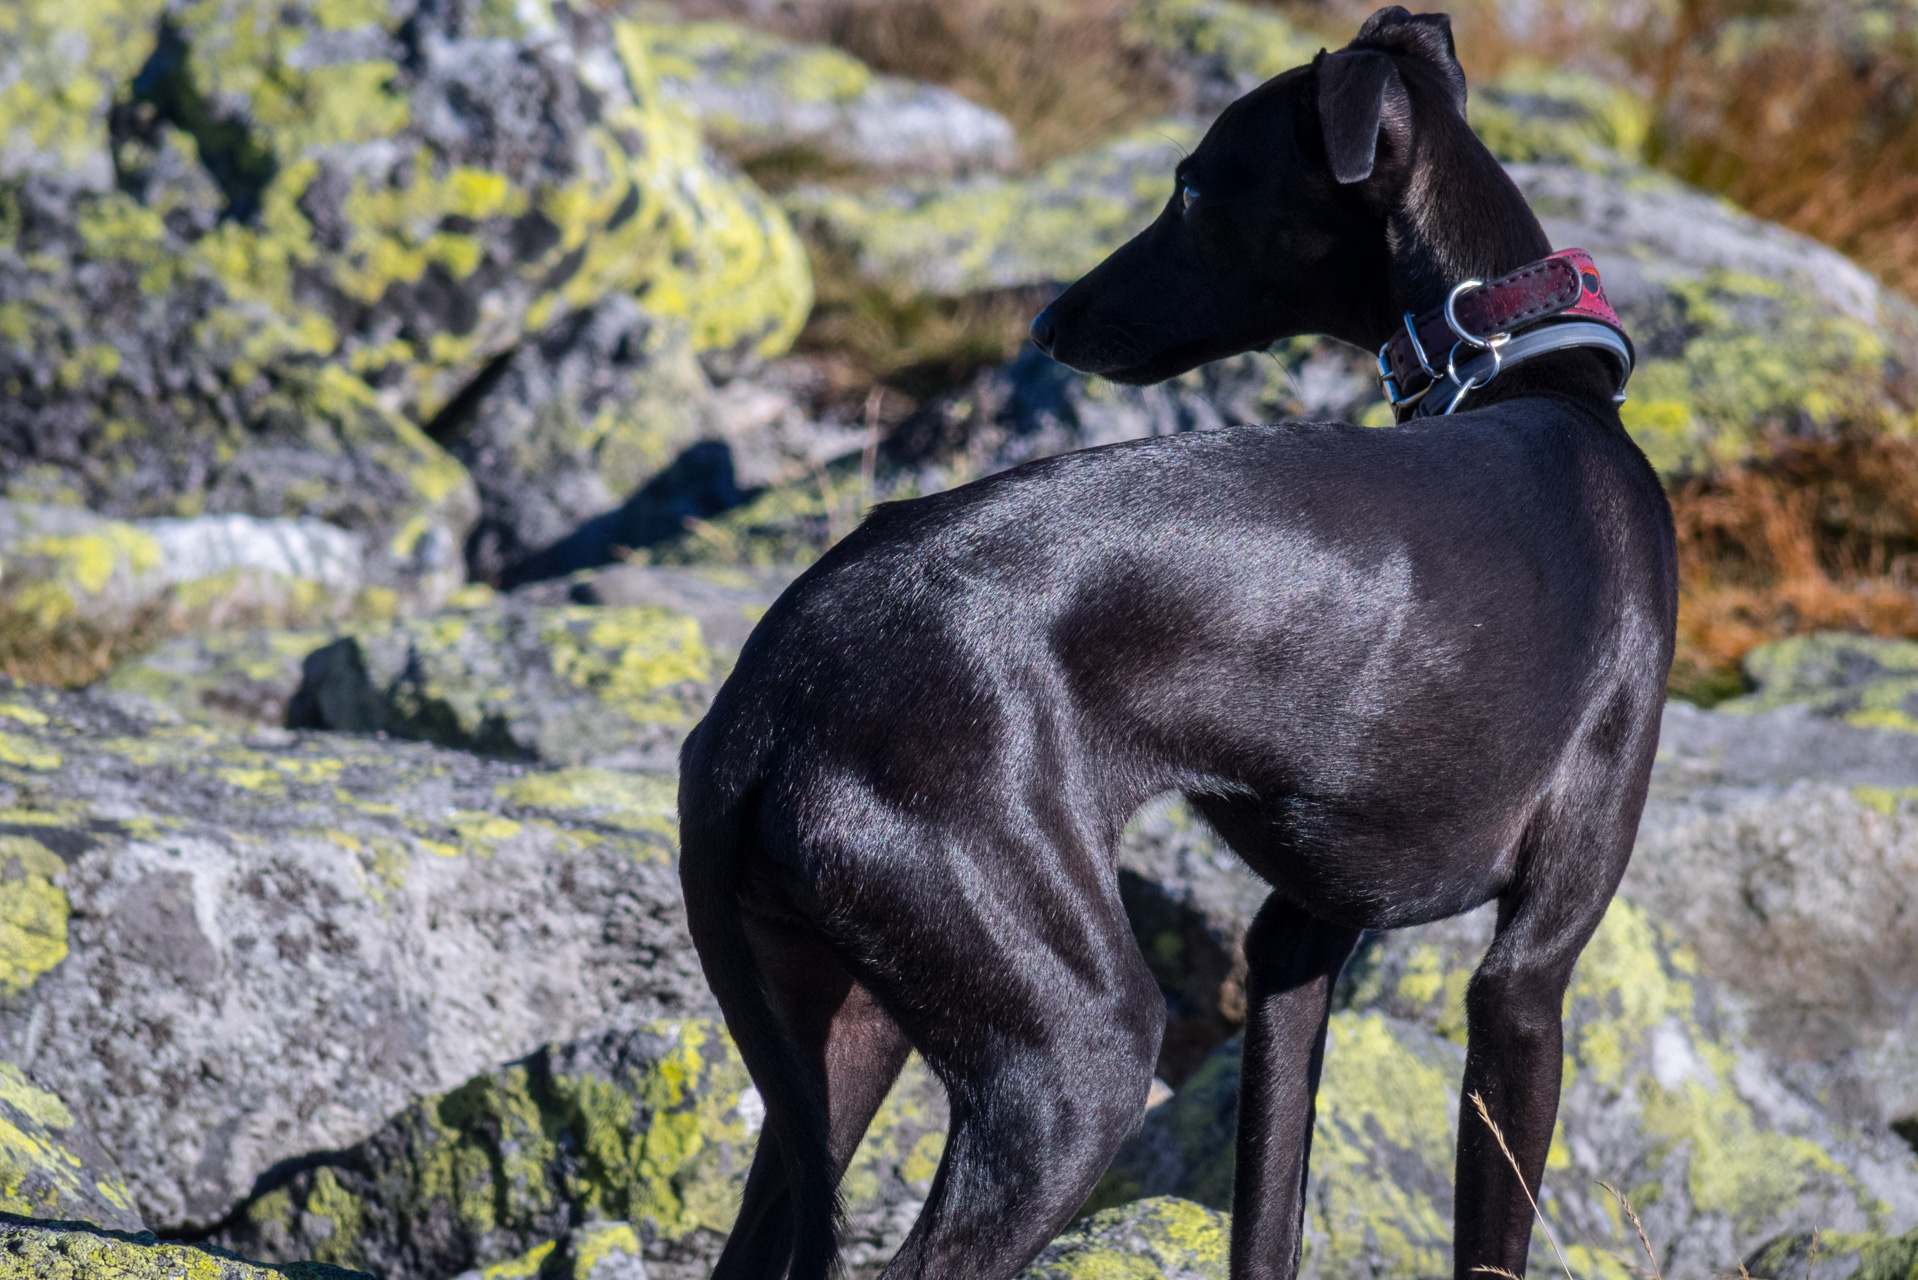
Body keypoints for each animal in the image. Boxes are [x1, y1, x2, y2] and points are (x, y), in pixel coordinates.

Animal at [682, 12, 1672, 1280]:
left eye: (1194, 190)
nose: (1048, 322)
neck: (1529, 376)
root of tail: (767, 692)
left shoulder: (1296, 938)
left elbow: (1268, 1216)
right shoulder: (1528, 979)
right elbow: (1489, 1237)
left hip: (840, 1023)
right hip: (1077, 1053)